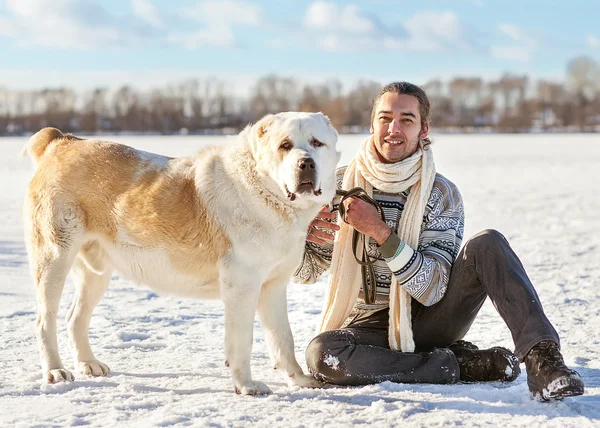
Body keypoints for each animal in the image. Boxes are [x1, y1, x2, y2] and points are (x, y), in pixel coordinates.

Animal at [23, 113, 340, 394]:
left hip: (96, 273)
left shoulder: (272, 286)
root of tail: (61, 142)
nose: (306, 163)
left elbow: (282, 338)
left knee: (75, 318)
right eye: (285, 145)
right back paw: (55, 370)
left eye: (317, 143)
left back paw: (88, 364)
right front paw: (246, 386)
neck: (264, 191)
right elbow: (242, 340)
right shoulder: (242, 284)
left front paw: (300, 380)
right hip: (54, 259)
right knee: (44, 320)